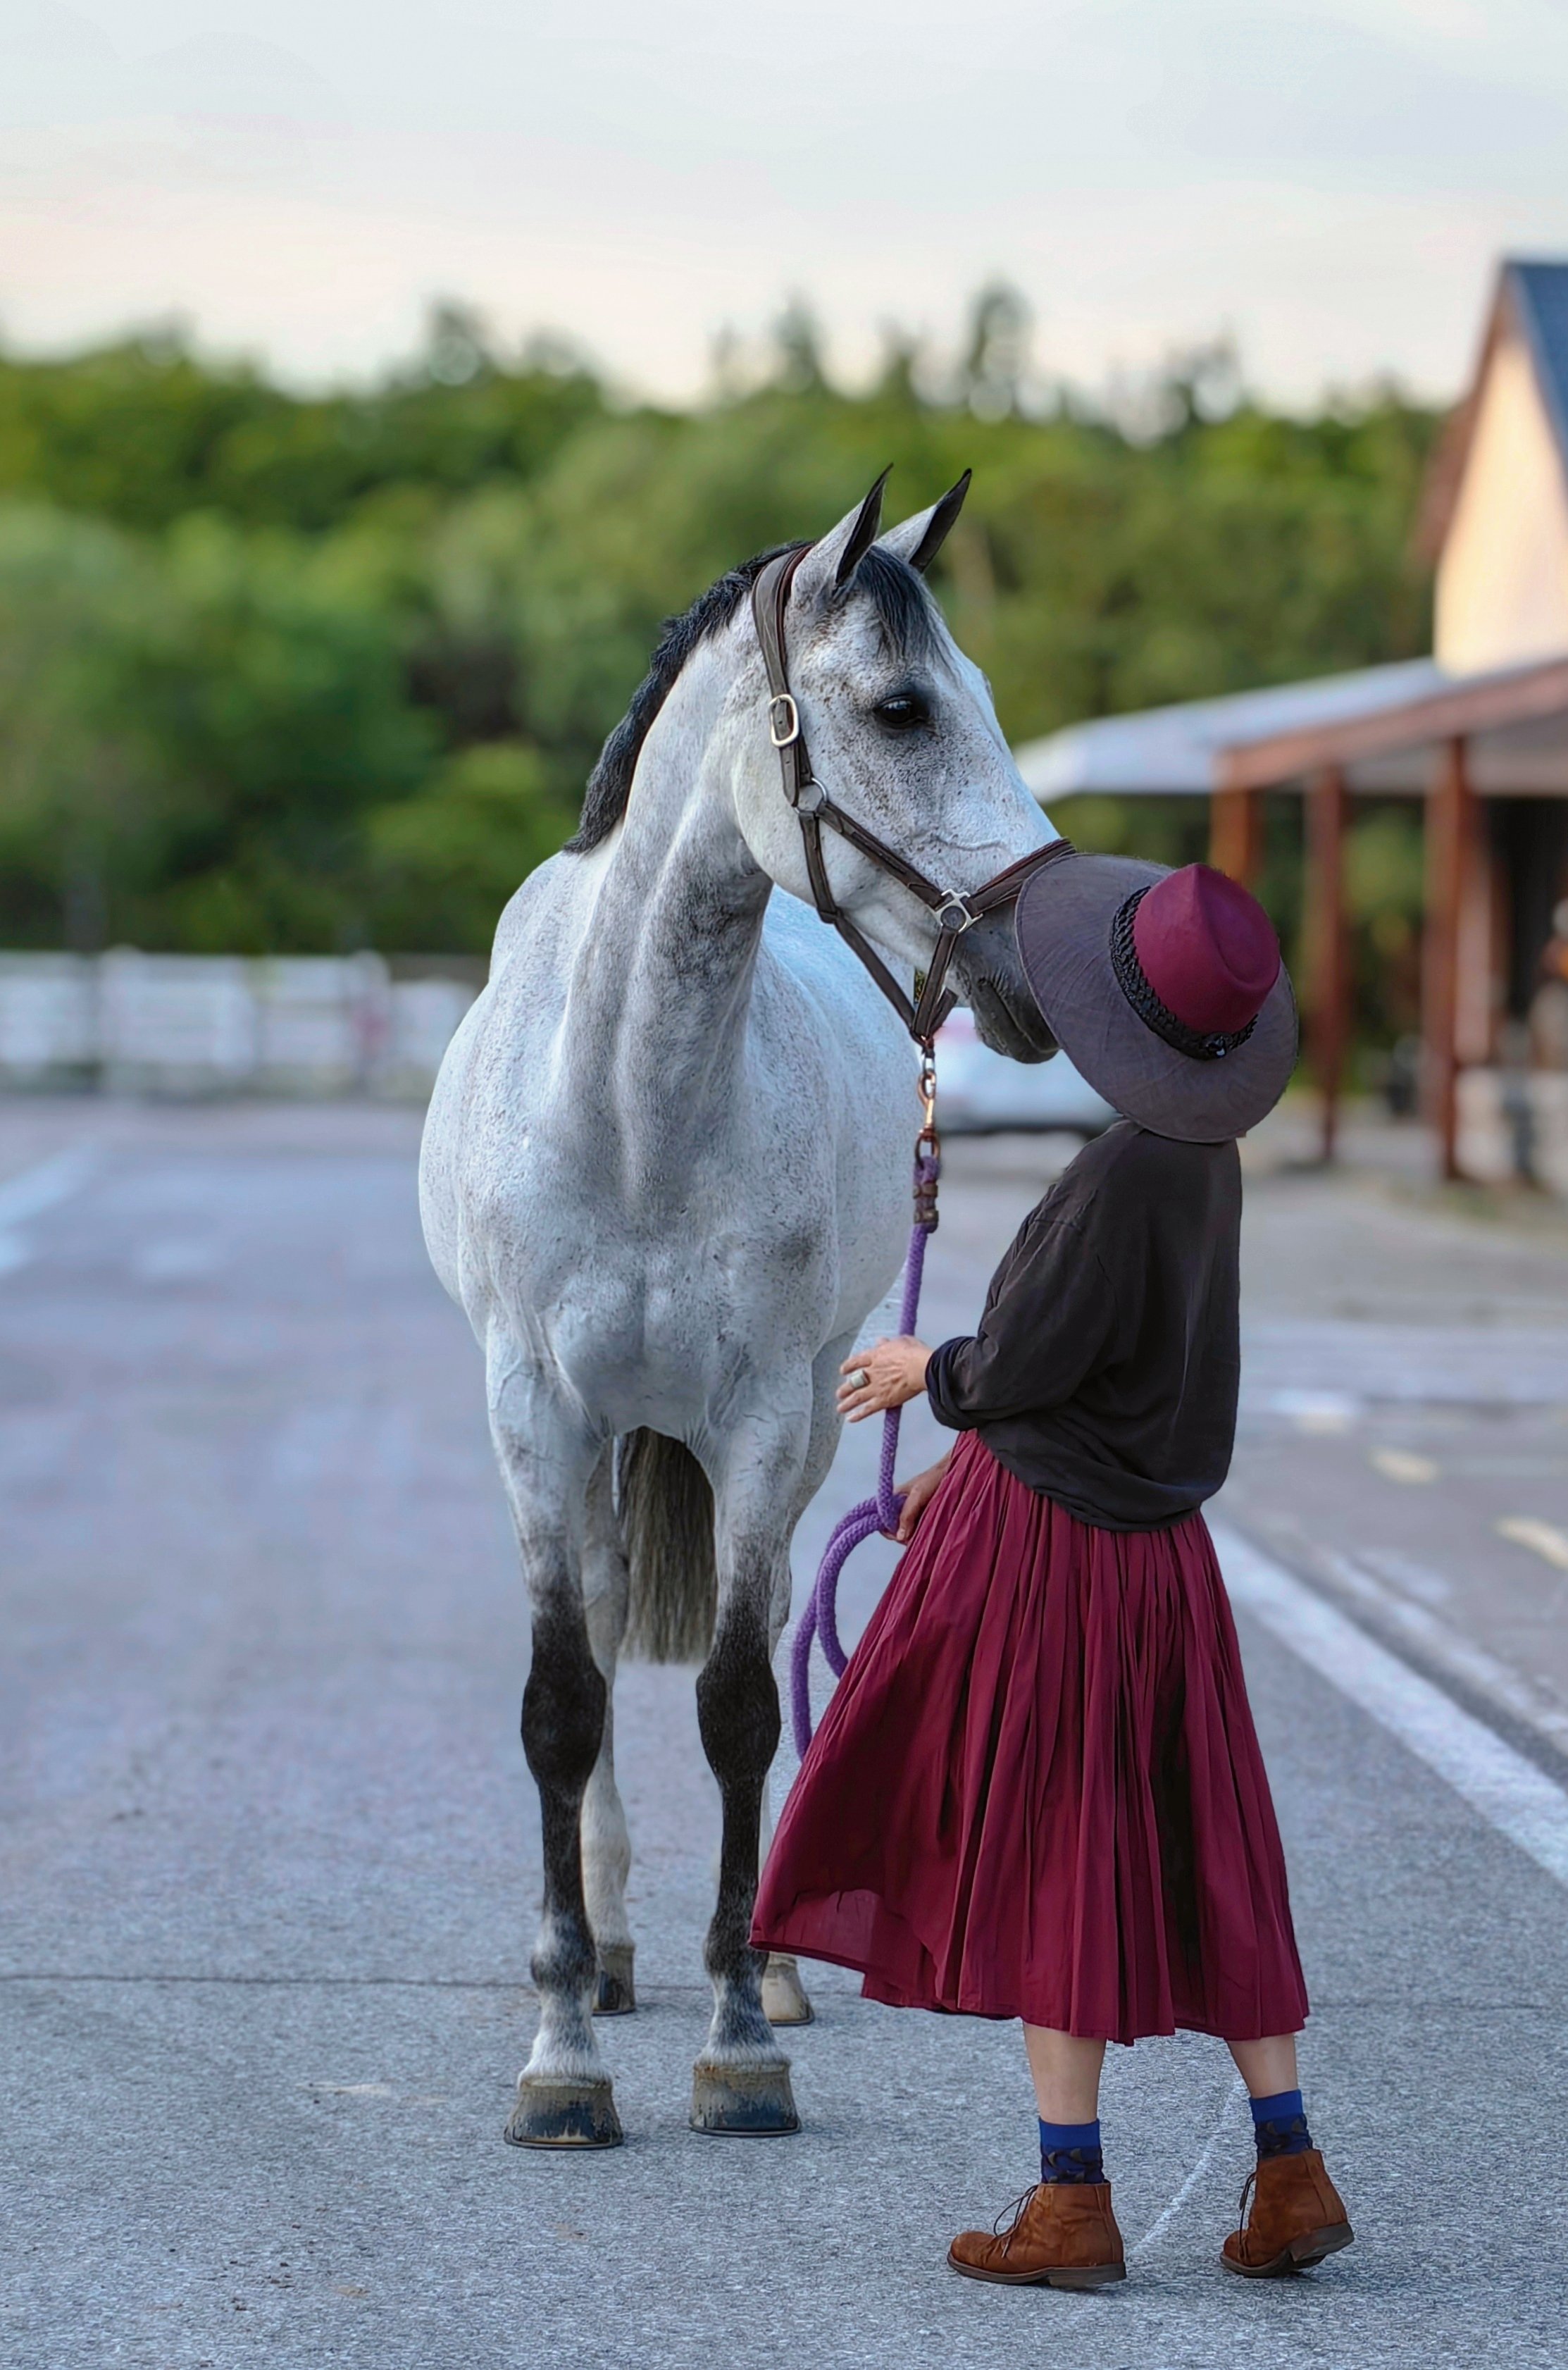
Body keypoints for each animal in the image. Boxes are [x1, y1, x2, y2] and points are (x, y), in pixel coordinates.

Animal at [419, 471, 1059, 2147]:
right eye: (901, 707)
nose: (1035, 966)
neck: (636, 1111)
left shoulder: (768, 1416)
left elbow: (738, 1704)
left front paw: (739, 2036)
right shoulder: (534, 1411)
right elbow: (561, 1704)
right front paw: (564, 2049)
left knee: (761, 1644)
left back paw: (761, 1958)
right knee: (590, 1661)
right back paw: (609, 1942)